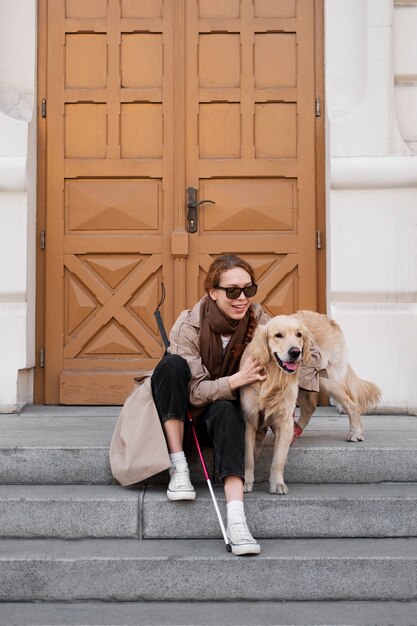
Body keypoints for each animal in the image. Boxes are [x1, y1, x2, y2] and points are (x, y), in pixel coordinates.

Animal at [239, 314, 310, 494]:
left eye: (299, 335)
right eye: (278, 335)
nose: (295, 352)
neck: (274, 379)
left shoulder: (285, 423)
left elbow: (278, 459)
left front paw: (277, 483)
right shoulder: (249, 420)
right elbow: (248, 457)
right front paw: (246, 482)